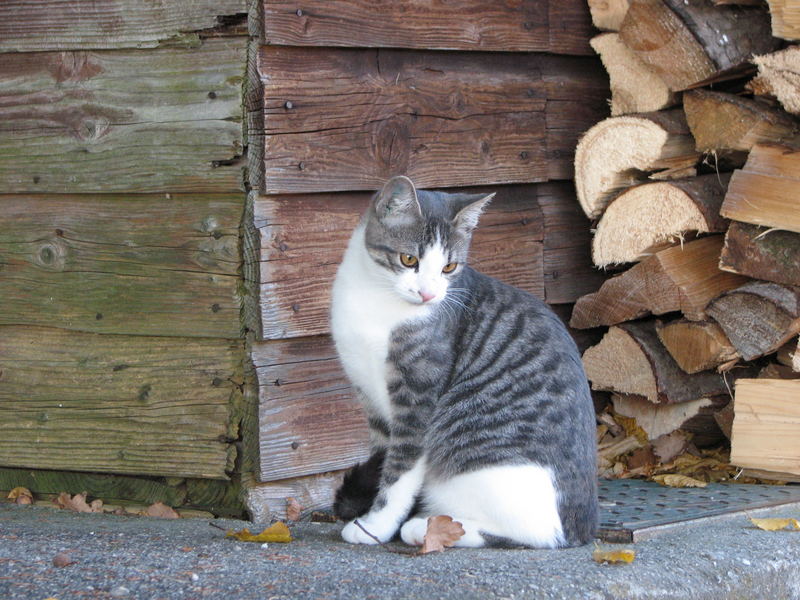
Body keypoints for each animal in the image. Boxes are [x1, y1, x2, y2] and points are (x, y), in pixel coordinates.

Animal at [328, 175, 596, 548]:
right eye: (408, 259)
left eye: (449, 267)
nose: (428, 293)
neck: (378, 300)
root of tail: (580, 528)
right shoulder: (371, 401)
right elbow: (382, 460)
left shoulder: (418, 400)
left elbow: (399, 472)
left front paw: (375, 526)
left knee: (533, 533)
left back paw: (426, 528)